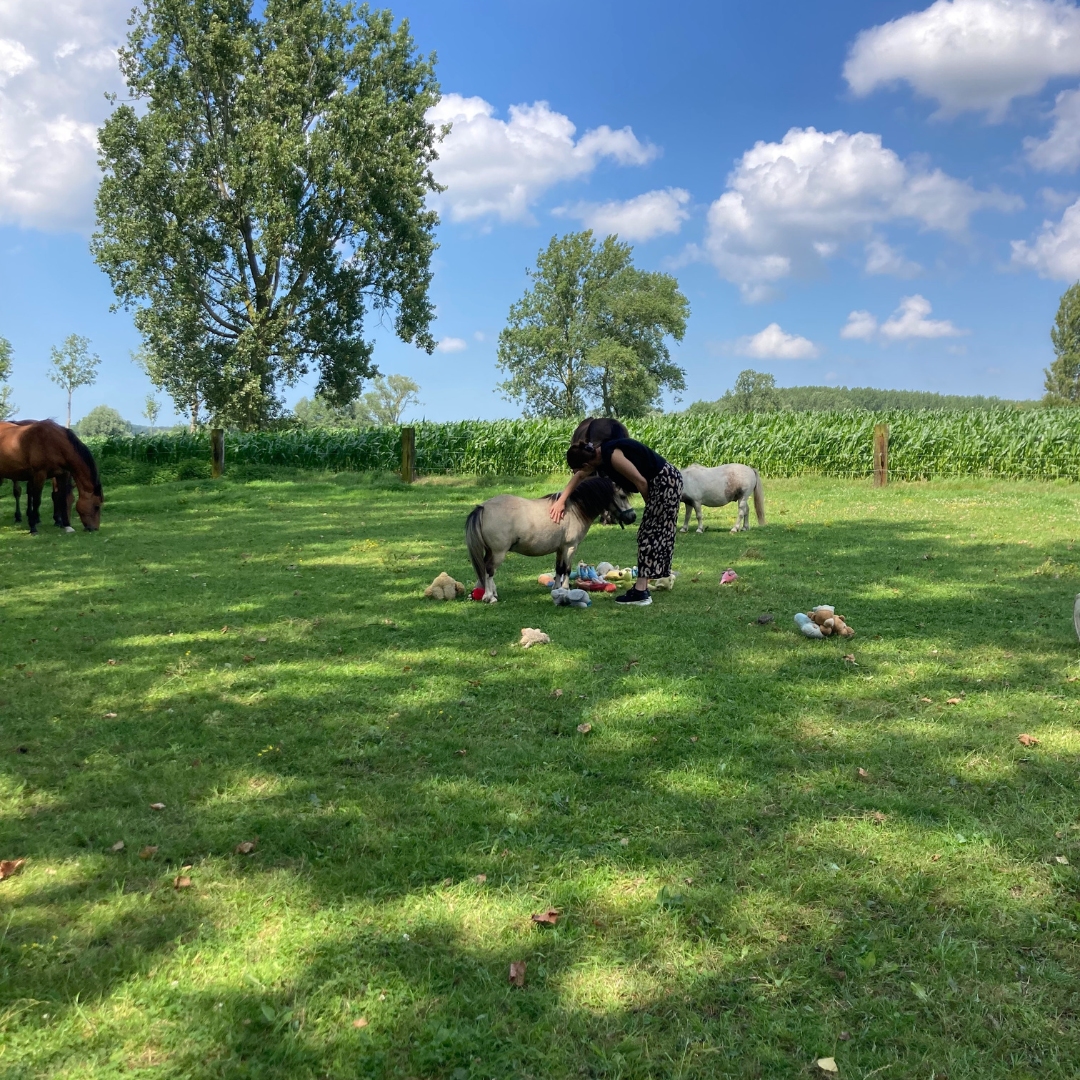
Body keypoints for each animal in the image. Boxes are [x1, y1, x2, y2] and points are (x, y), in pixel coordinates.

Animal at [465, 476, 636, 603]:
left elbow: (559, 568)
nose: (632, 517)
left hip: (490, 551)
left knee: (484, 569)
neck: (573, 509)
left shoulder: (560, 548)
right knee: (489, 570)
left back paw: (491, 593)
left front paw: (556, 589)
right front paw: (566, 589)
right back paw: (489, 597)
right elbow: (567, 569)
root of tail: (483, 507)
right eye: (622, 496)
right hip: (498, 552)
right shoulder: (570, 547)